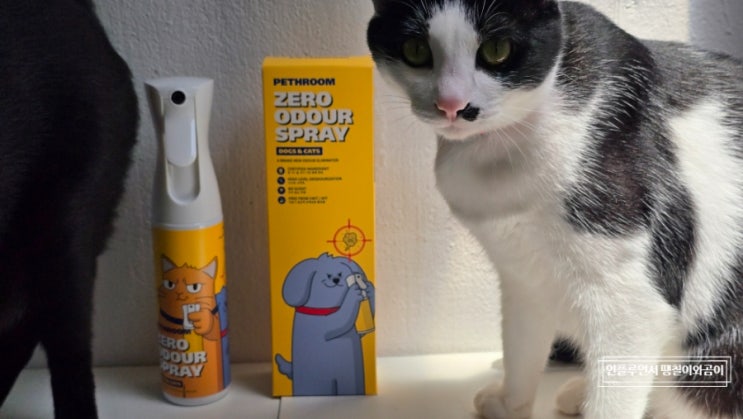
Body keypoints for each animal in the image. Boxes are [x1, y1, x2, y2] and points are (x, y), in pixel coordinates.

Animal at [367, 1, 743, 418]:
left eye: (497, 49)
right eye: (415, 50)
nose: (452, 104)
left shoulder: (630, 305)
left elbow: (614, 393)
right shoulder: (522, 276)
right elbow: (520, 347)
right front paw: (509, 404)